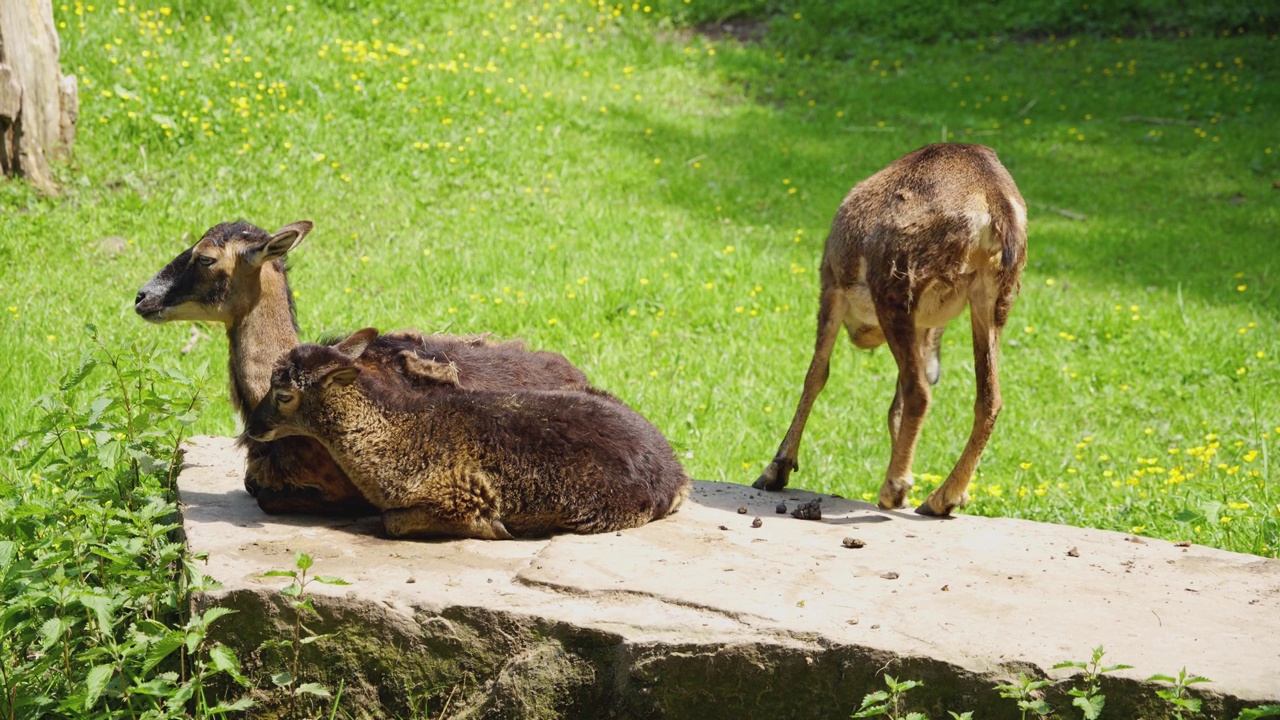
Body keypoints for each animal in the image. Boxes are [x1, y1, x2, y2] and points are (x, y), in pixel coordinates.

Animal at [244, 327, 696, 535]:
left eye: (283, 394)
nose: (253, 428)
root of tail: (676, 475)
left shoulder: (456, 496)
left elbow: (392, 521)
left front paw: (496, 530)